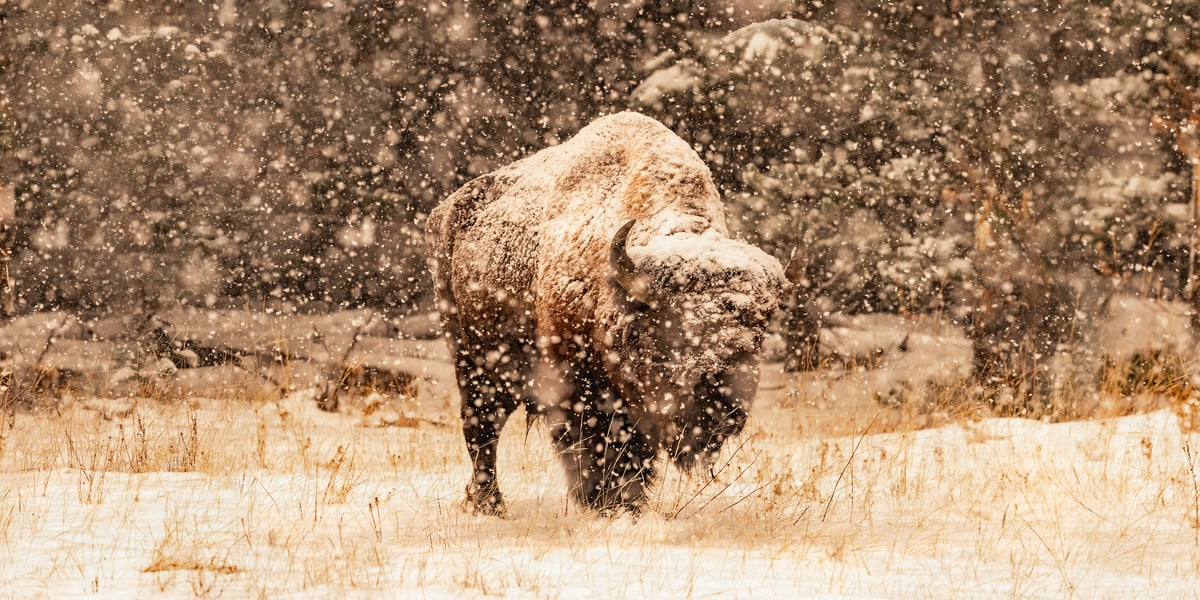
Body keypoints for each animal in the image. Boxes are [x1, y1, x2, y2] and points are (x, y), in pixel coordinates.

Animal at [426, 112, 786, 515]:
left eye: (757, 335)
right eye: (675, 331)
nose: (724, 407)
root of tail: (443, 212)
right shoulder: (579, 385)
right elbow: (599, 446)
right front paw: (604, 502)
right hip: (474, 360)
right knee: (483, 428)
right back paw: (490, 505)